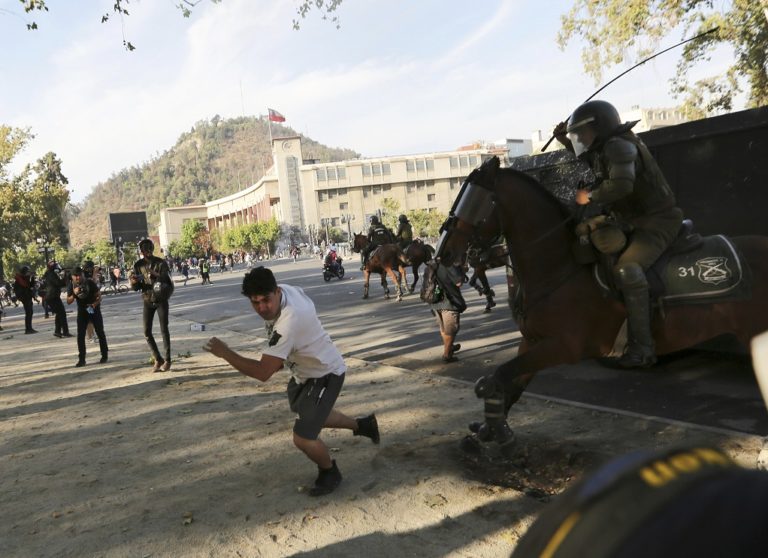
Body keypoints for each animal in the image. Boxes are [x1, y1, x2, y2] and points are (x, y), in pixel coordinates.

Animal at [438, 161, 768, 450]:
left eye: (472, 202)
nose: (444, 253)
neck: (561, 267)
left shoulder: (565, 346)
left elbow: (497, 377)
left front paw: (496, 430)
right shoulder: (532, 341)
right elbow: (511, 385)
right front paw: (488, 429)